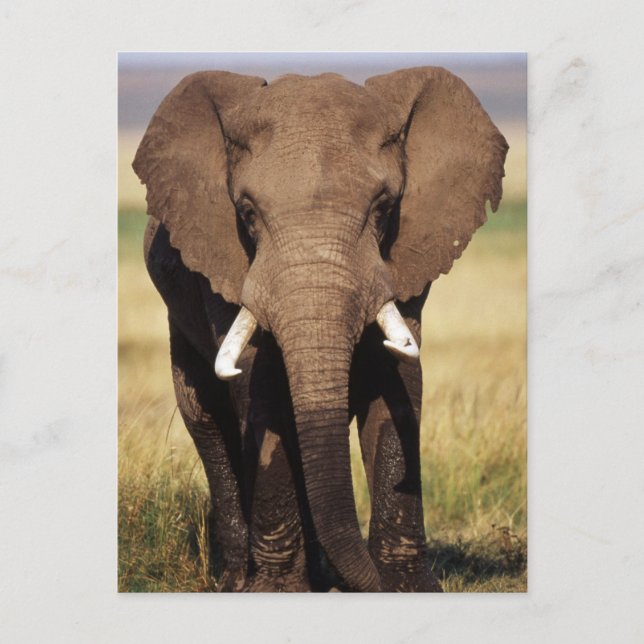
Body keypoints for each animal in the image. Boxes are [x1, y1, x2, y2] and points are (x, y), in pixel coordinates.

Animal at [132, 66, 508, 592]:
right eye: (247, 213)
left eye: (382, 209)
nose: (365, 583)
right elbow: (260, 392)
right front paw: (275, 592)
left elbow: (397, 383)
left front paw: (405, 588)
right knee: (206, 422)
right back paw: (238, 581)